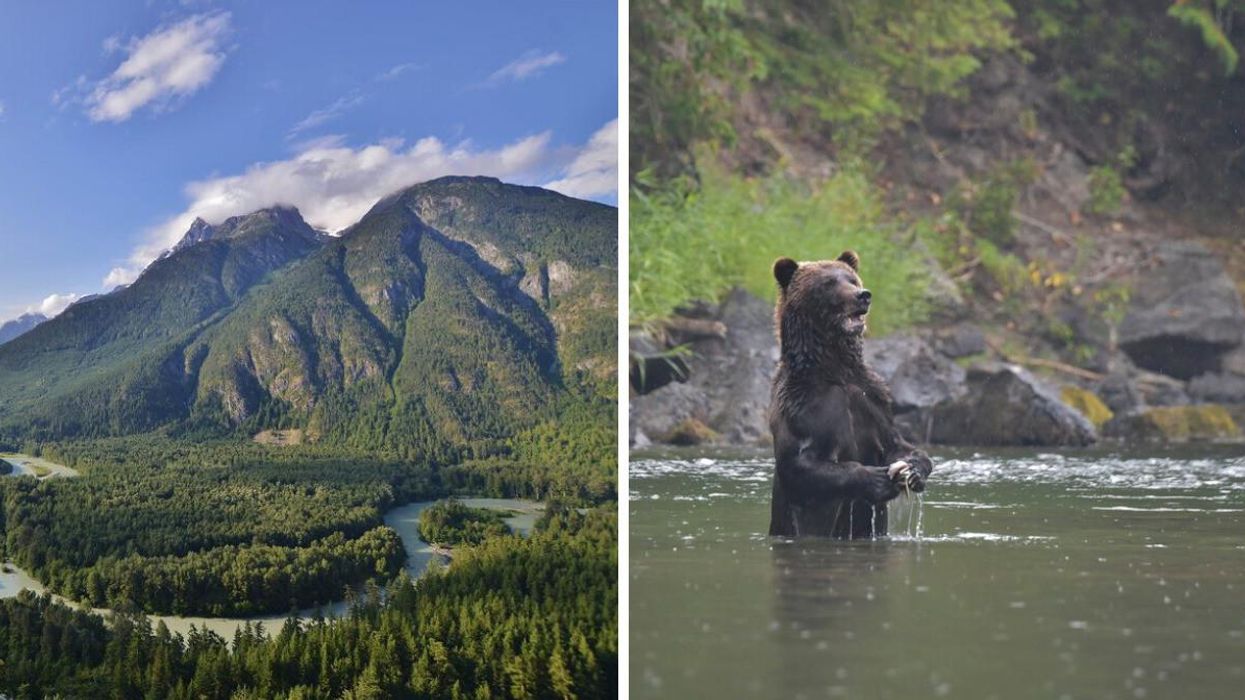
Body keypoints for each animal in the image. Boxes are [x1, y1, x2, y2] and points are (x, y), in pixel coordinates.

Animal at [768, 250, 933, 538]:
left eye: (852, 279)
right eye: (828, 283)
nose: (863, 295)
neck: (835, 370)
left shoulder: (873, 401)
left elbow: (897, 444)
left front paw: (914, 470)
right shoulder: (803, 406)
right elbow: (800, 465)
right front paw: (874, 479)